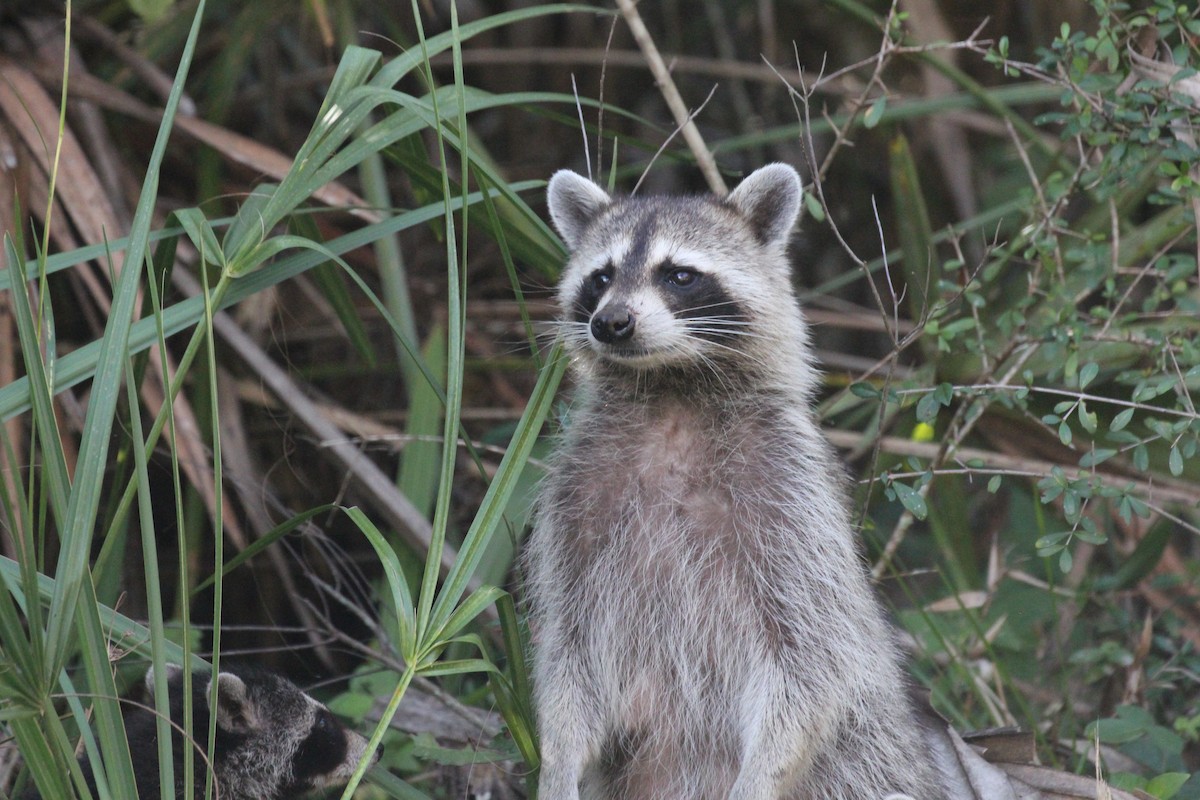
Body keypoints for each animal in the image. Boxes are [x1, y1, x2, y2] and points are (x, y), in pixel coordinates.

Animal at [525, 164, 947, 800]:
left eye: (679, 275)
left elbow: (810, 657)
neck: (670, 393)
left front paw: (761, 774)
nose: (611, 322)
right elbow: (568, 652)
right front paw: (559, 760)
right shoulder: (577, 496)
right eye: (601, 277)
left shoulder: (790, 494)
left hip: (866, 767)